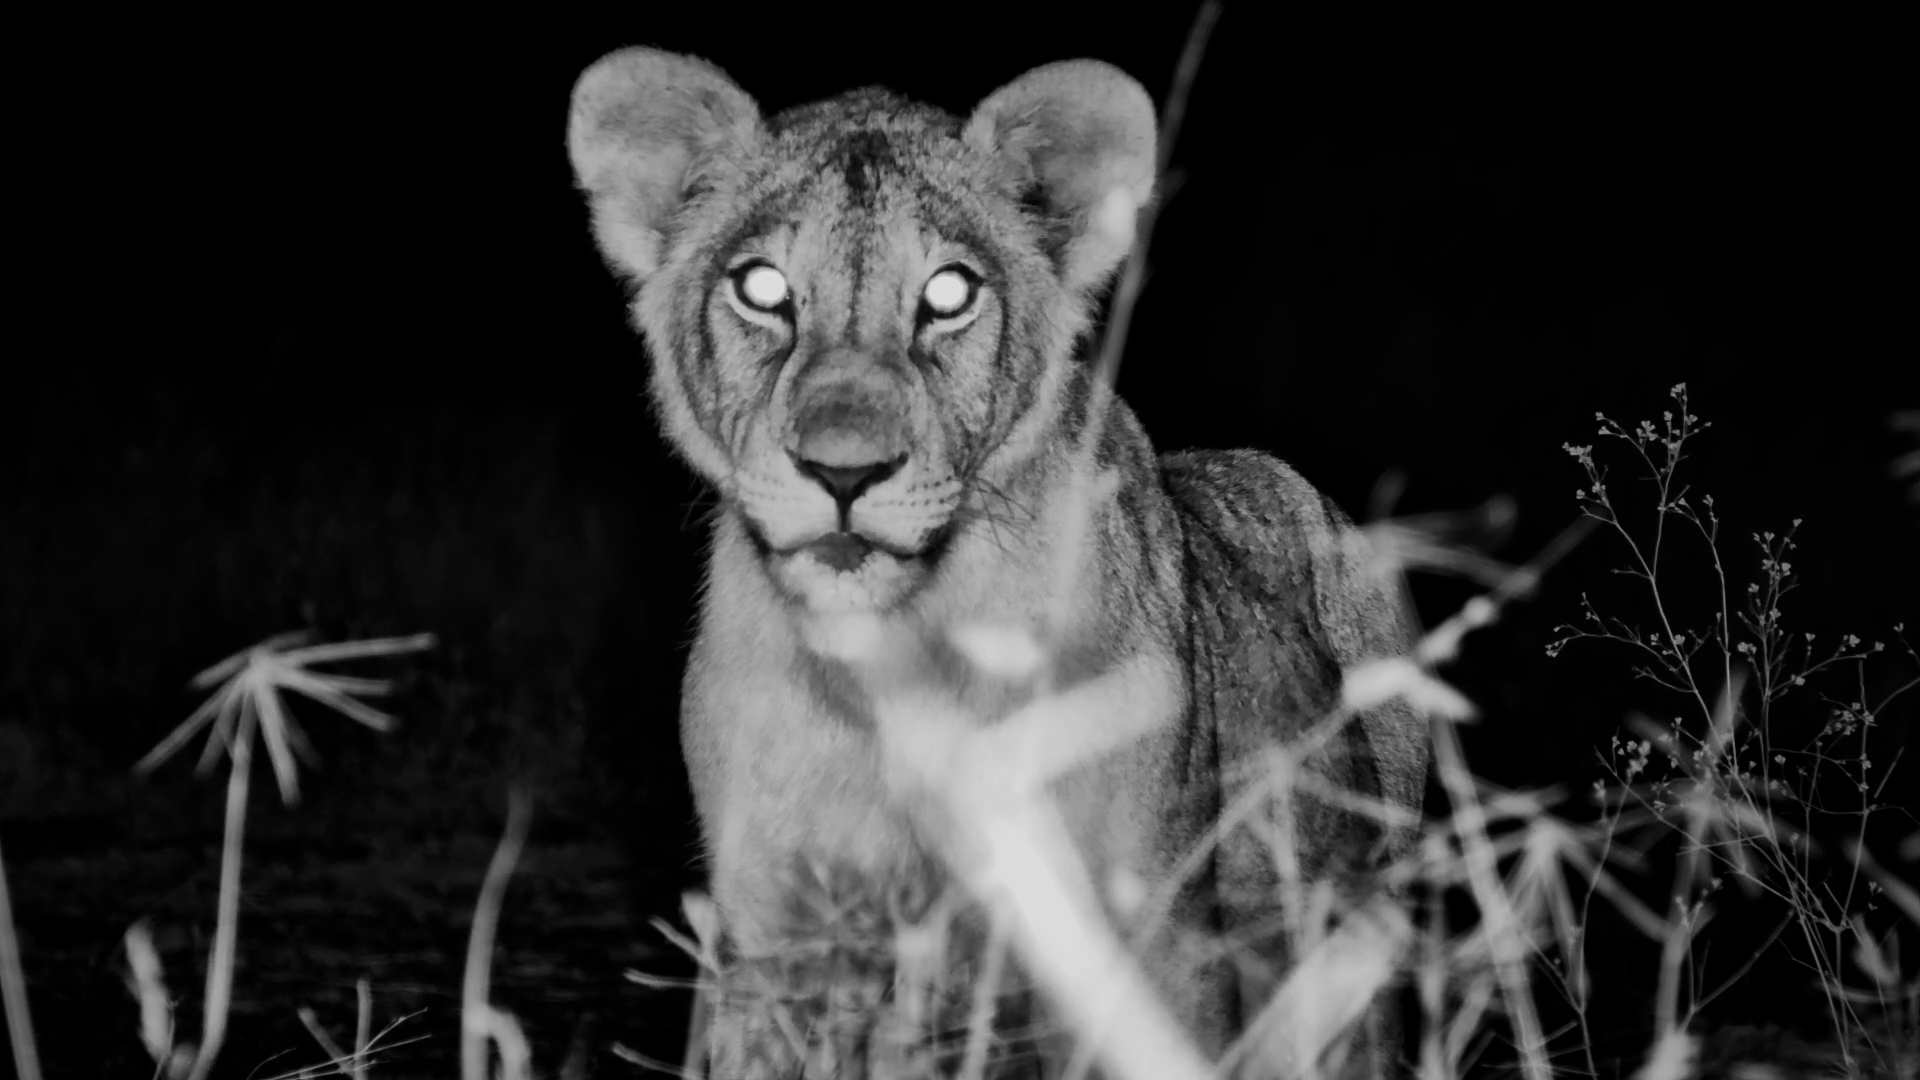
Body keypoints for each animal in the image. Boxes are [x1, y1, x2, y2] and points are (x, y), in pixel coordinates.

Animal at [567, 46, 1430, 1078]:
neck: (887, 666)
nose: (843, 471)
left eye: (949, 295)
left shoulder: (1133, 934)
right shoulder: (773, 937)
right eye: (763, 289)